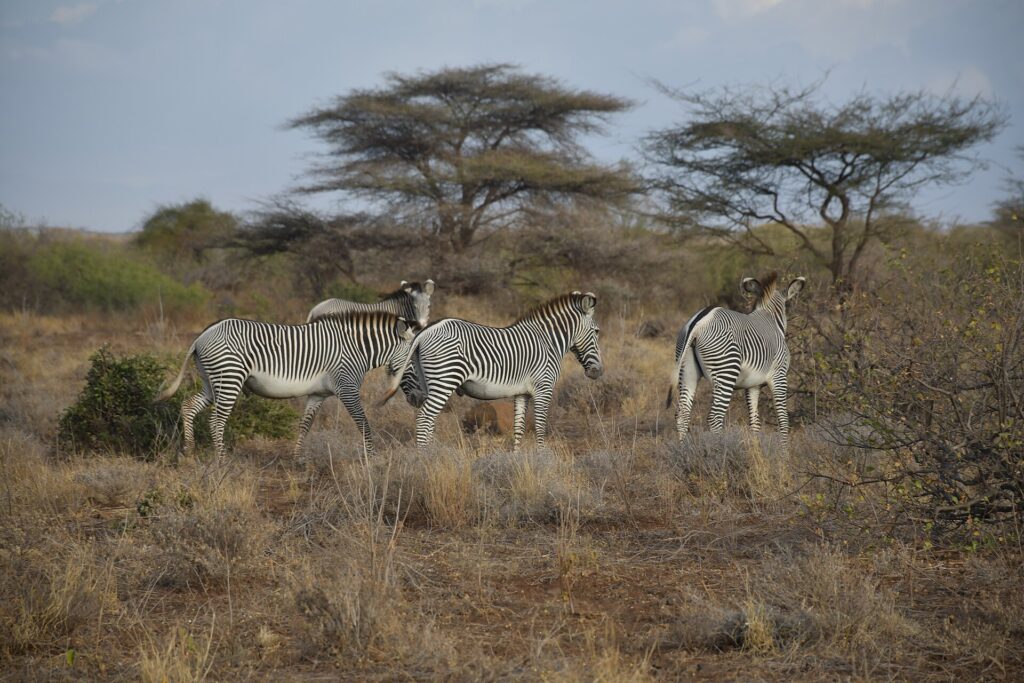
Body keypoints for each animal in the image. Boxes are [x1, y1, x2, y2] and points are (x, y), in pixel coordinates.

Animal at [155, 311, 416, 458]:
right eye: (414, 357)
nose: (416, 398)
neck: (357, 349)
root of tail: (202, 336)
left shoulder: (318, 394)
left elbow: (305, 425)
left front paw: (298, 459)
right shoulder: (347, 387)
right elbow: (363, 423)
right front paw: (371, 458)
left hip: (213, 381)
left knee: (188, 405)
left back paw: (189, 451)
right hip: (229, 377)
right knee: (216, 420)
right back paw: (221, 460)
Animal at [380, 292, 603, 449]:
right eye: (596, 331)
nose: (598, 372)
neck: (547, 342)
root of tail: (426, 331)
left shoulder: (522, 393)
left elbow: (519, 427)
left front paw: (517, 459)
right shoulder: (544, 388)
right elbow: (540, 426)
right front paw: (542, 459)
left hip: (429, 381)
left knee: (428, 420)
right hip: (445, 379)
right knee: (424, 418)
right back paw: (425, 458)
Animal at [666, 273, 805, 447]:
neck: (770, 318)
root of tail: (698, 322)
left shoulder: (753, 385)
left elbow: (755, 421)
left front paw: (756, 450)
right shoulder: (779, 376)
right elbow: (783, 420)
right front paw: (784, 453)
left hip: (686, 368)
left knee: (682, 414)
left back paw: (683, 450)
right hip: (726, 370)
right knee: (714, 418)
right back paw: (717, 451)